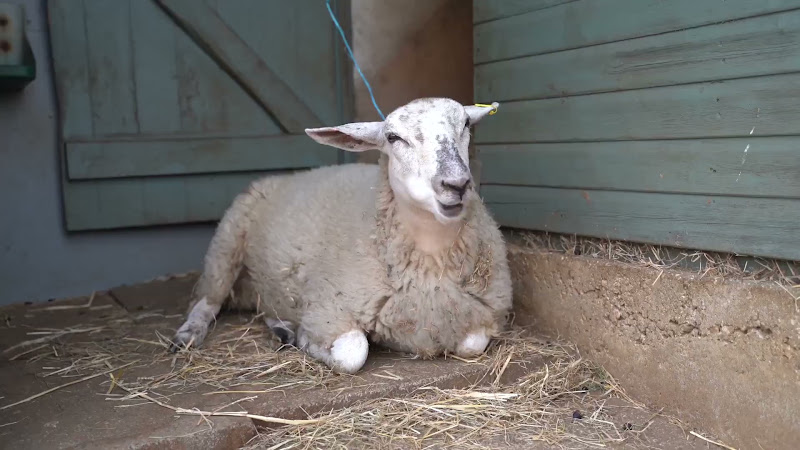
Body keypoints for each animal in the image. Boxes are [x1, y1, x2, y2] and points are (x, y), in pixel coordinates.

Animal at [170, 98, 513, 374]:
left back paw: (283, 330)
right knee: (206, 301)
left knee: (264, 305)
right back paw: (188, 334)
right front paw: (308, 340)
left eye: (465, 124)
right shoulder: (328, 309)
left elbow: (472, 344)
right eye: (393, 138)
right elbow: (352, 353)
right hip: (225, 244)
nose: (456, 183)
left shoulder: (479, 314)